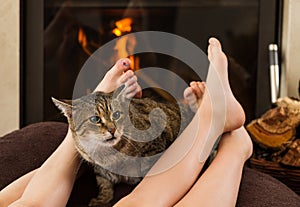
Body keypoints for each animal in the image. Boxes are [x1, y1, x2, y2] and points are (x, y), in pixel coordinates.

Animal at [52, 84, 195, 205]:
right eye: (95, 119)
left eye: (116, 115)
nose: (112, 130)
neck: (106, 154)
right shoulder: (99, 168)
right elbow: (104, 183)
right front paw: (102, 199)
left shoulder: (154, 147)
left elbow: (147, 171)